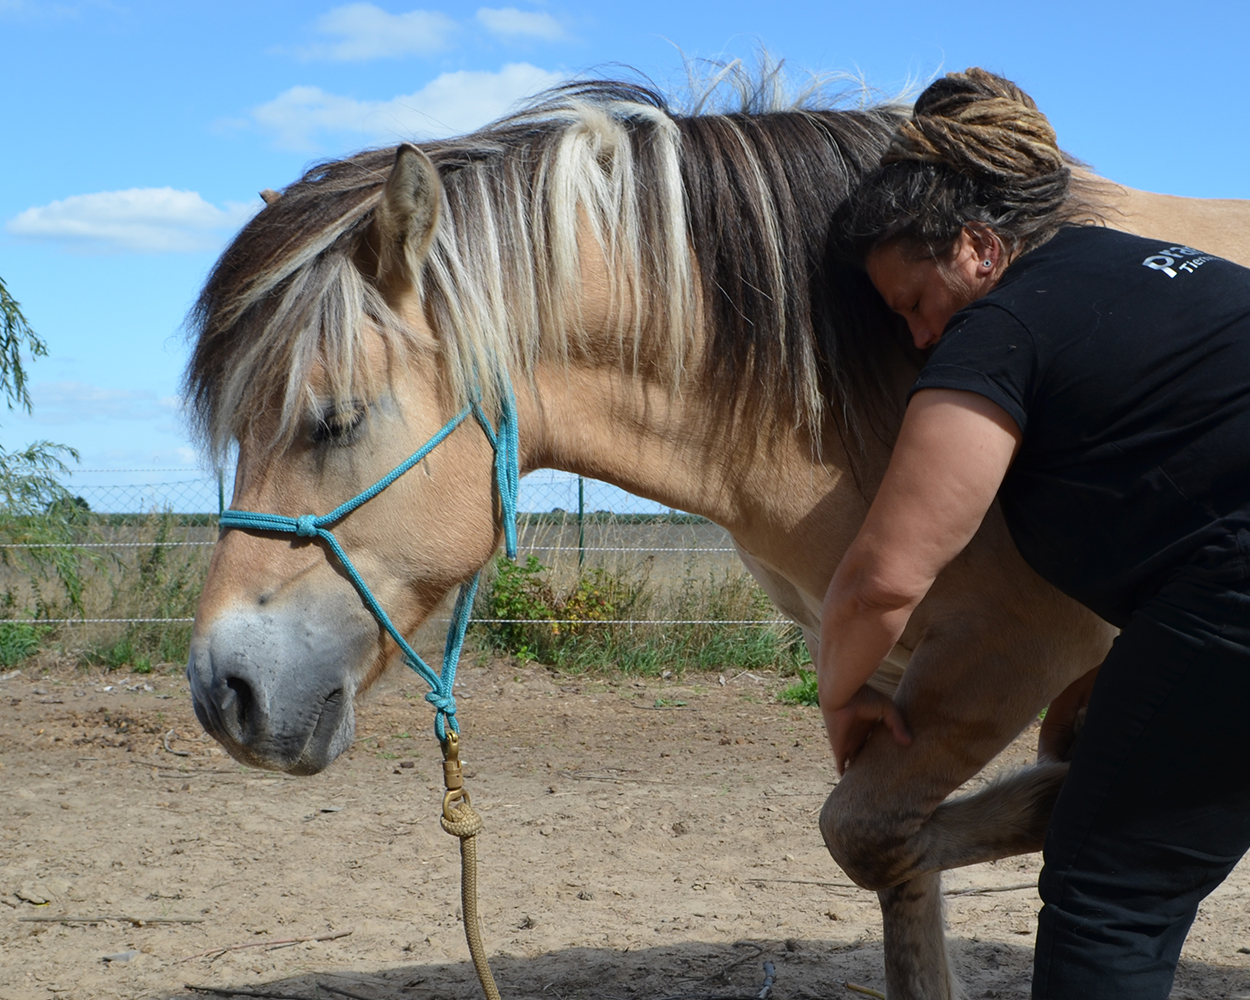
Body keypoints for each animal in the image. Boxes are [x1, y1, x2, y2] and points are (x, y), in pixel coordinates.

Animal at [182, 80, 1250, 1000]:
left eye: (333, 421)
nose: (222, 691)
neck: (850, 383)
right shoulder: (875, 661)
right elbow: (896, 866)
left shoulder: (1010, 648)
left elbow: (868, 833)